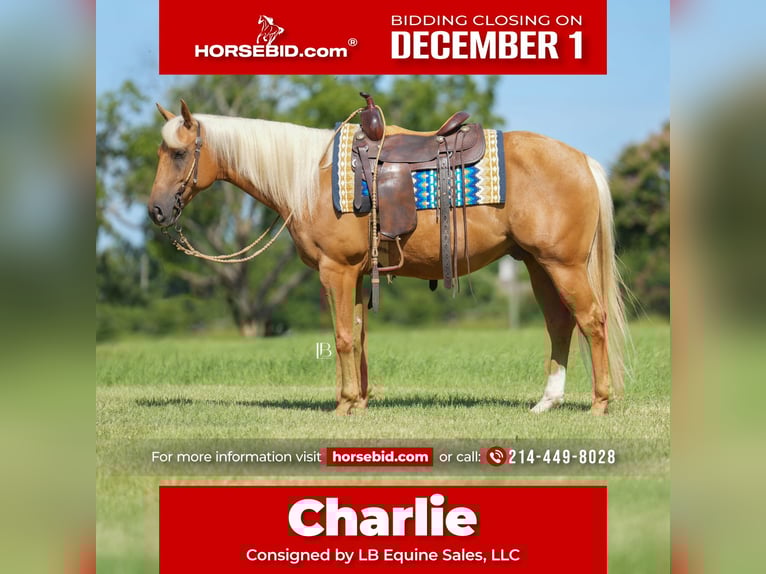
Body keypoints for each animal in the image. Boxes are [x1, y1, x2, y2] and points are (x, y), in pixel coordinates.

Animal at [148, 99, 628, 416]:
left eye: (179, 153)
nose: (155, 211)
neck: (310, 177)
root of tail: (583, 161)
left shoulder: (337, 270)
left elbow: (343, 336)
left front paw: (344, 405)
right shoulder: (360, 275)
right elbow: (359, 336)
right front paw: (360, 401)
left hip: (562, 265)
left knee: (592, 320)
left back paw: (599, 403)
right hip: (537, 264)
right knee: (560, 324)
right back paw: (546, 402)